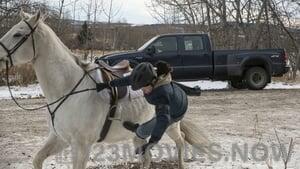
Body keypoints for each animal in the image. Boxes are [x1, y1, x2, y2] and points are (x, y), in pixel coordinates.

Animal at [0, 10, 210, 169]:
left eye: (18, 34)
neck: (69, 90)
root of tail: (168, 79)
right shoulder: (59, 138)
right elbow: (37, 159)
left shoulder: (82, 145)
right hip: (139, 135)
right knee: (147, 157)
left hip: (170, 126)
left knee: (181, 141)